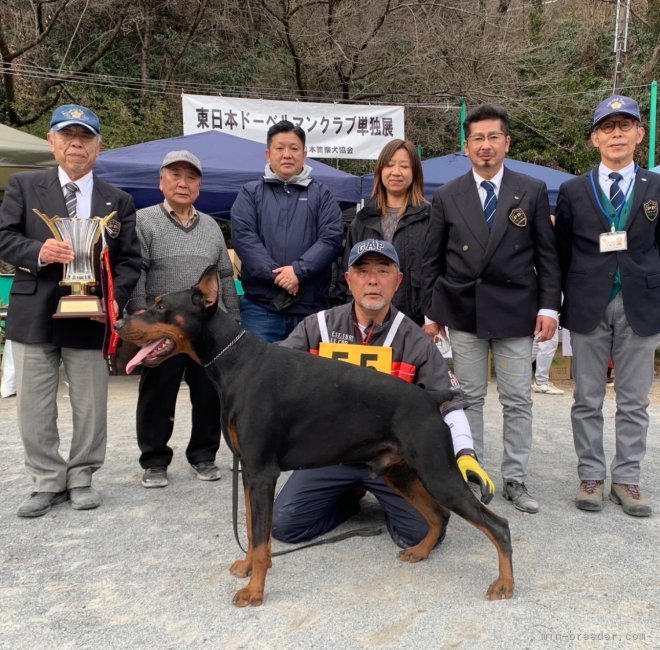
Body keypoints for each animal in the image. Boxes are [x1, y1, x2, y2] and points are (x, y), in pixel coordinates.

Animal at [114, 262, 516, 604]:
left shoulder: (262, 473)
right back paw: (420, 551)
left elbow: (259, 538)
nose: (118, 324)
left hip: (436, 472)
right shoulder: (249, 472)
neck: (234, 362)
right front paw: (248, 569)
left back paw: (505, 583)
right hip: (399, 471)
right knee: (439, 516)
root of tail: (431, 397)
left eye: (161, 307)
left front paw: (254, 591)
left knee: (497, 525)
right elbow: (254, 531)